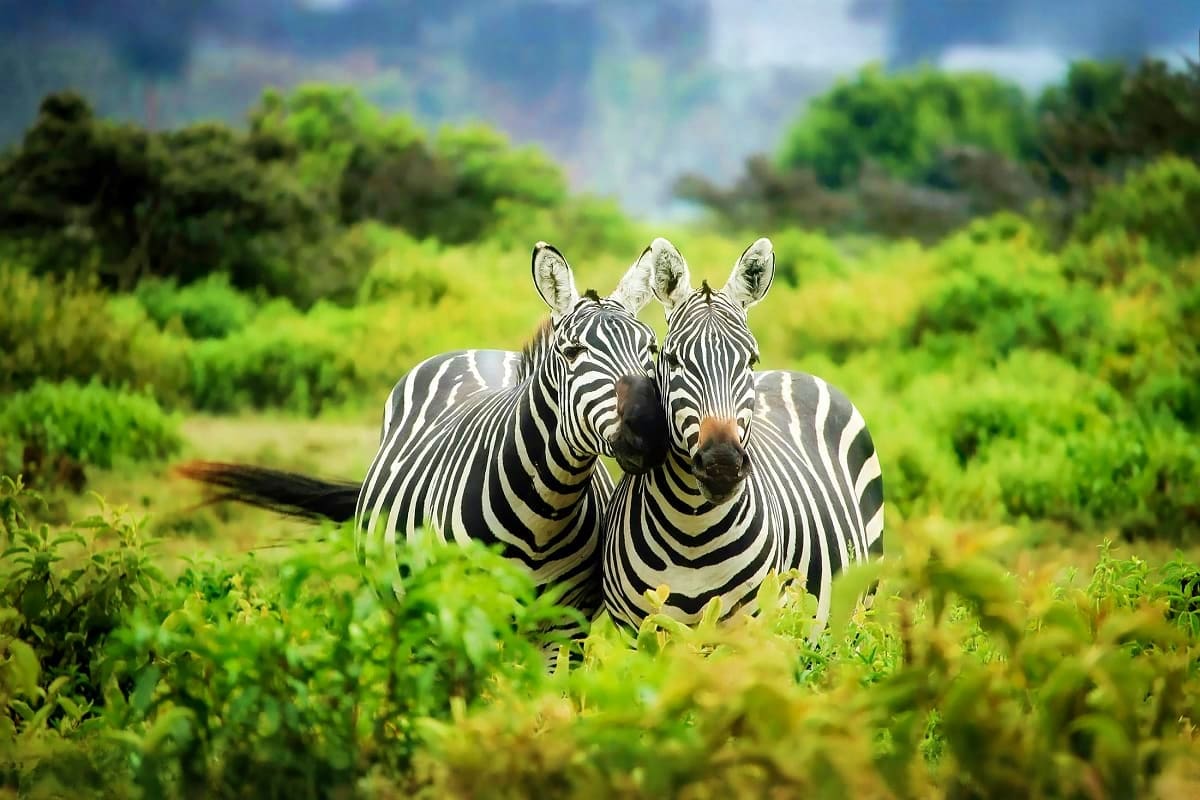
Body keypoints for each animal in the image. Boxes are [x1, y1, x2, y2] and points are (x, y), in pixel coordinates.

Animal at [179, 241, 669, 648]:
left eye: (651, 350)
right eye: (572, 353)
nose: (649, 431)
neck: (545, 512)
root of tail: (477, 351)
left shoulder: (566, 627)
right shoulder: (462, 615)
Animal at [601, 237, 885, 633]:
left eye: (750, 360)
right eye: (672, 360)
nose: (721, 464)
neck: (691, 532)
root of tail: (794, 373)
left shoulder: (752, 628)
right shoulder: (637, 631)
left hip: (859, 607)